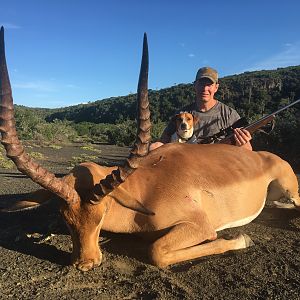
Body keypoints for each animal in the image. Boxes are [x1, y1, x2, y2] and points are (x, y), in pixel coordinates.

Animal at [0, 27, 300, 272]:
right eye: (65, 216)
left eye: (102, 212)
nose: (85, 263)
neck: (144, 186)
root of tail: (266, 157)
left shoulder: (200, 226)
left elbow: (157, 252)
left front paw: (241, 239)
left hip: (289, 188)